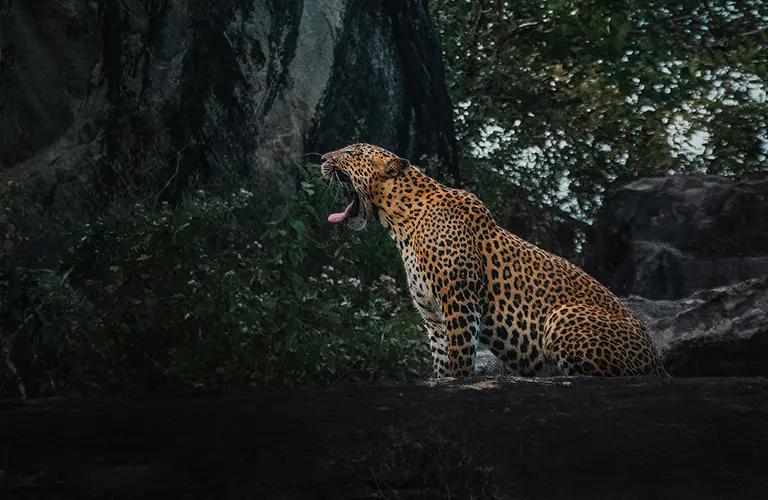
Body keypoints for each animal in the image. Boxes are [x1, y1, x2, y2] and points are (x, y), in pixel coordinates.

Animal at [319, 143, 670, 378]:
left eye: (350, 152)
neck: (400, 223)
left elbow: (460, 354)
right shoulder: (432, 315)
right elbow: (441, 358)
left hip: (563, 316)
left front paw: (461, 380)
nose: (322, 158)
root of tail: (658, 362)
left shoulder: (459, 298)